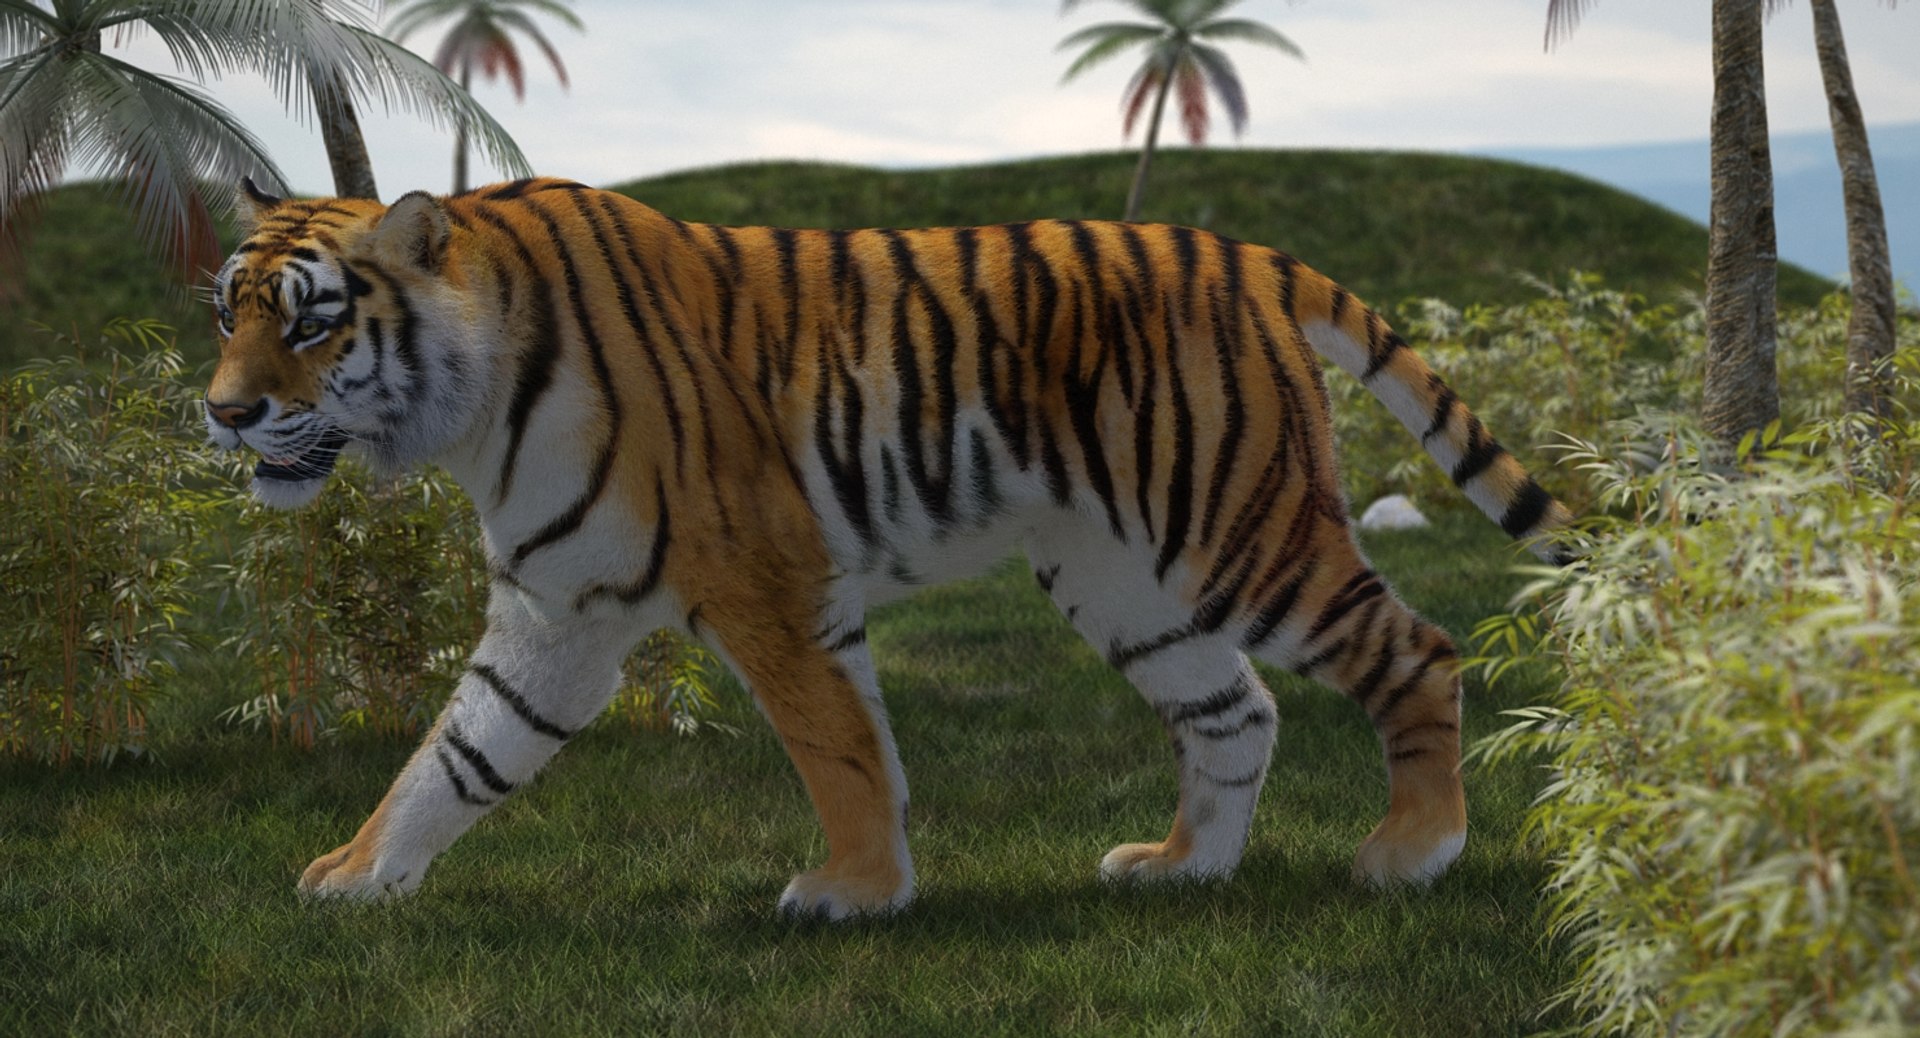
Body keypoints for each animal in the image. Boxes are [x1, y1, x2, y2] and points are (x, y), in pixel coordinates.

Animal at [204, 176, 1572, 920]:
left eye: (314, 326)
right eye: (228, 314)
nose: (223, 412)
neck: (474, 413)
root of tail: (1238, 250)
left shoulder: (763, 575)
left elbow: (837, 742)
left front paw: (857, 891)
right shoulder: (560, 611)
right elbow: (459, 753)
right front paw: (360, 874)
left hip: (1237, 528)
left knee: (1419, 649)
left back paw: (1413, 852)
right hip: (1122, 576)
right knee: (1233, 709)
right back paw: (1185, 869)